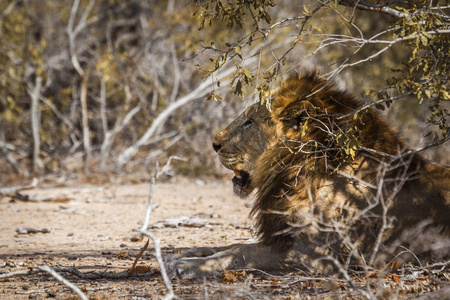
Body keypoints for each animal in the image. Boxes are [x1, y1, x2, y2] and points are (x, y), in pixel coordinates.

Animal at [166, 70, 450, 278]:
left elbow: (238, 251)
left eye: (249, 122)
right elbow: (224, 245)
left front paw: (188, 266)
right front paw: (179, 255)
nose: (214, 144)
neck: (294, 170)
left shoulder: (318, 254)